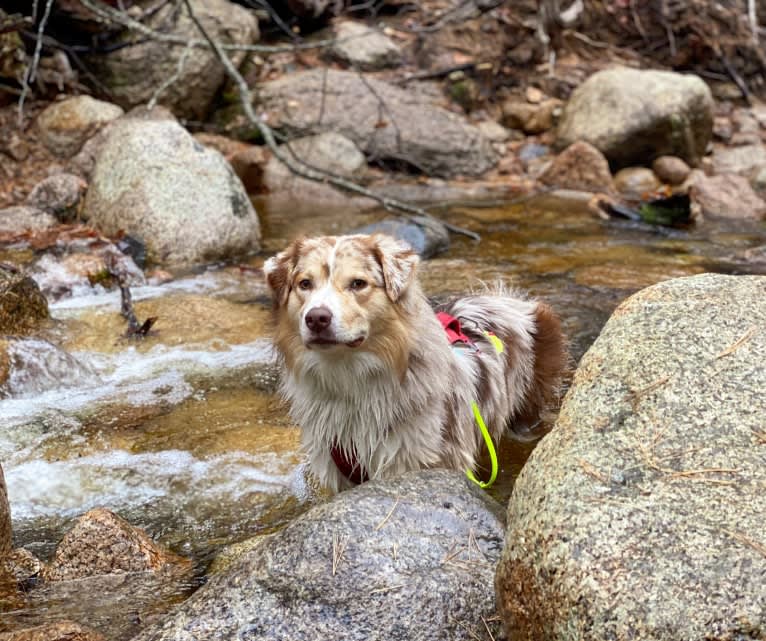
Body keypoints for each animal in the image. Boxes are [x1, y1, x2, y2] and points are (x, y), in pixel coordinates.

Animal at [268, 234, 568, 490]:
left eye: (358, 283)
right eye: (305, 284)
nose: (316, 318)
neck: (349, 379)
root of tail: (504, 299)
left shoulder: (419, 458)